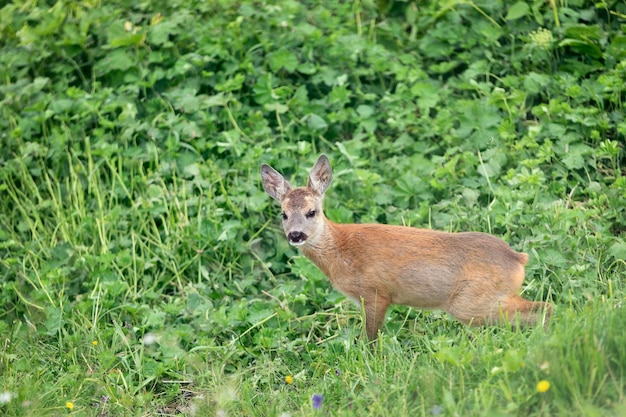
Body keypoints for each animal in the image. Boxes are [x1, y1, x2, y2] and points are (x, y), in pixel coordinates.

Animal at [258, 154, 552, 340]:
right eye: (284, 214)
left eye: (312, 211)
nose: (296, 235)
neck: (340, 251)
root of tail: (518, 258)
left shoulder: (376, 292)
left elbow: (370, 339)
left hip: (474, 302)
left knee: (543, 308)